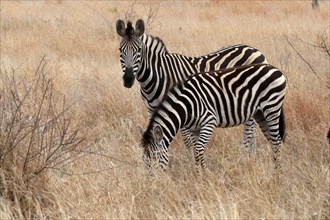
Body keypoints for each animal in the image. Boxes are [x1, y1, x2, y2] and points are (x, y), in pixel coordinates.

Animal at [116, 18, 268, 156]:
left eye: (139, 50)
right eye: (120, 50)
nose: (128, 79)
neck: (158, 75)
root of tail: (255, 50)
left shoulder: (180, 107)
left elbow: (188, 141)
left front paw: (189, 160)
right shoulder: (151, 109)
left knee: (250, 129)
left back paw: (246, 156)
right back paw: (251, 156)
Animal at [141, 62, 288, 171]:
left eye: (155, 157)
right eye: (144, 160)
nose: (153, 184)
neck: (187, 105)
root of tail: (274, 68)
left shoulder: (209, 122)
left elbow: (198, 150)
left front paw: (204, 175)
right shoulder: (195, 128)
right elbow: (196, 150)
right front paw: (199, 174)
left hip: (272, 108)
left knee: (276, 141)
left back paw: (277, 173)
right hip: (260, 114)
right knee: (272, 140)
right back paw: (274, 169)